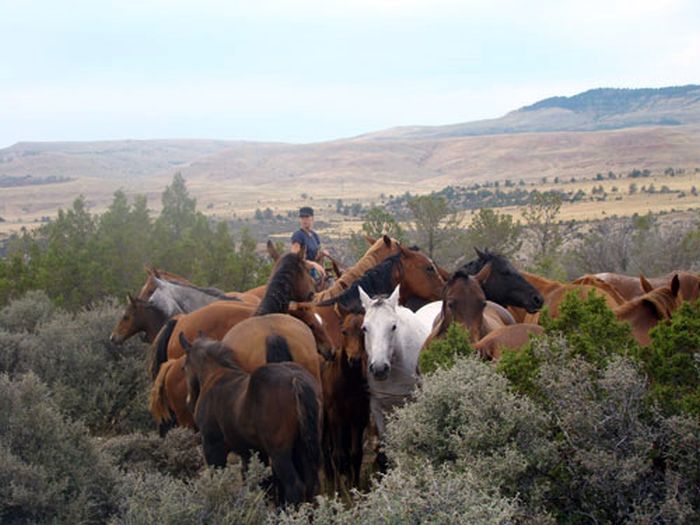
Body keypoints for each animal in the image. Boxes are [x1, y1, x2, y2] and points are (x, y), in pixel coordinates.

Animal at [180, 334, 322, 506]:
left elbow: (218, 478)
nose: (188, 403)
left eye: (184, 367)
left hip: (280, 453)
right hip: (303, 447)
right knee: (311, 484)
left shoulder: (212, 445)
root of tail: (296, 379)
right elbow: (256, 481)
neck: (215, 376)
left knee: (295, 486)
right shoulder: (251, 452)